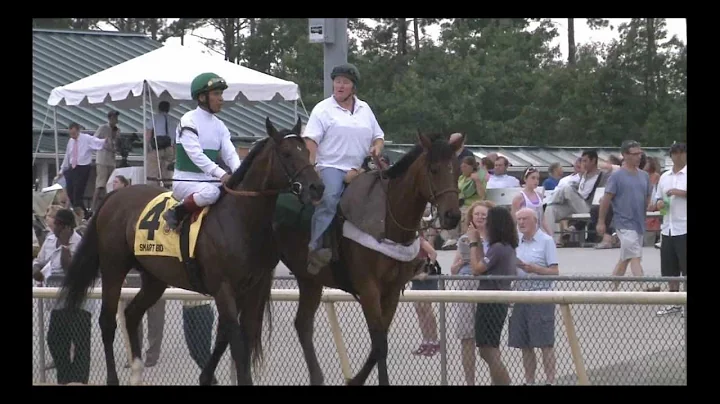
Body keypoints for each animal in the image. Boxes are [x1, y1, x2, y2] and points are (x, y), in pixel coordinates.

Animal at [58, 117, 324, 386]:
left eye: (306, 151)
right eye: (287, 153)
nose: (317, 187)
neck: (240, 218)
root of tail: (113, 196)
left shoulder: (252, 288)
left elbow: (233, 334)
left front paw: (207, 376)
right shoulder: (223, 287)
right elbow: (236, 339)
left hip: (155, 277)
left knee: (132, 314)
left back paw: (137, 371)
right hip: (113, 267)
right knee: (107, 321)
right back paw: (114, 378)